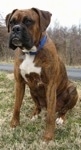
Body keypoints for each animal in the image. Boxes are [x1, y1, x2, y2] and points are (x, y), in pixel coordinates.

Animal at [5, 8, 78, 141]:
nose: (15, 29)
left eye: (28, 21)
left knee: (63, 109)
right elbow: (16, 106)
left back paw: (60, 118)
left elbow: (50, 116)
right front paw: (14, 125)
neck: (30, 52)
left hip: (72, 89)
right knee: (38, 105)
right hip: (32, 91)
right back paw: (35, 114)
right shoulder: (19, 83)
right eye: (12, 22)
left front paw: (48, 136)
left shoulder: (50, 86)